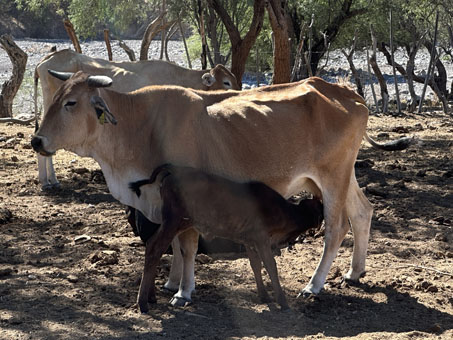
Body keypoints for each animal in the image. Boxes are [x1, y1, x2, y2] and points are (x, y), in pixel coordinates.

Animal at [129, 165, 324, 314]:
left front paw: (264, 296)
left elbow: (256, 265)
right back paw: (143, 303)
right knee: (154, 247)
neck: (284, 212)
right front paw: (283, 303)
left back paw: (151, 297)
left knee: (151, 244)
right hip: (173, 221)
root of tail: (173, 171)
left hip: (173, 222)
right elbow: (271, 267)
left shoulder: (249, 240)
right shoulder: (262, 239)